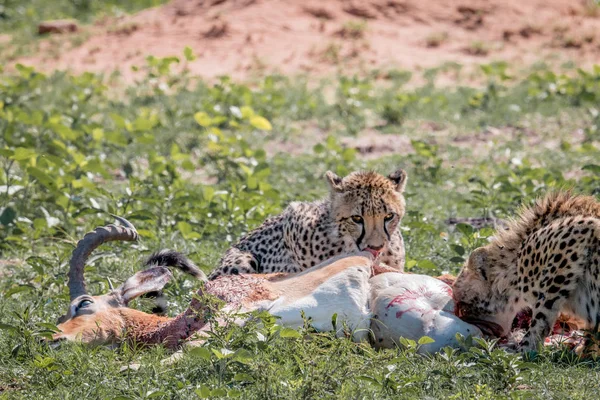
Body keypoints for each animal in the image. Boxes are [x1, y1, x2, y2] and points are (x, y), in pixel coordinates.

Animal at [452, 192, 600, 352]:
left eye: (464, 305)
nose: (472, 325)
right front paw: (584, 349)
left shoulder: (581, 231)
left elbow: (541, 317)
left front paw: (523, 350)